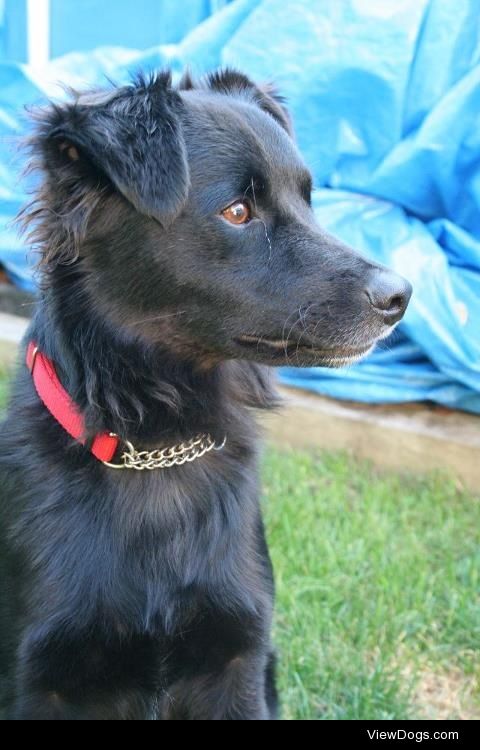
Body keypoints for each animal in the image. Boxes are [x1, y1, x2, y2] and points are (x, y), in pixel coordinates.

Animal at [0, 72, 412, 724]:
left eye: (307, 200)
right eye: (237, 212)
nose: (401, 296)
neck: (156, 449)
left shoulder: (237, 660)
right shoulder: (40, 679)